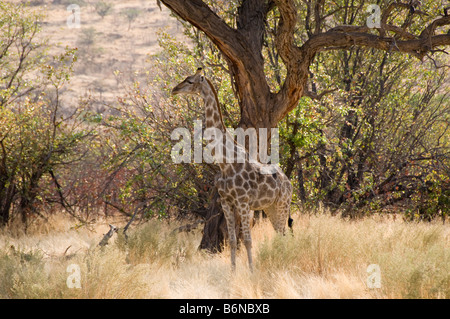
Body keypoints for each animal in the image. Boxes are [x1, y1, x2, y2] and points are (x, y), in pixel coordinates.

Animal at [171, 69, 294, 272]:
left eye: (189, 81)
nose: (174, 89)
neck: (225, 162)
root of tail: (289, 182)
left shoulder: (243, 202)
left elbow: (248, 241)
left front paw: (251, 272)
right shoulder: (226, 202)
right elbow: (233, 240)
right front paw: (233, 272)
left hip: (282, 204)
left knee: (283, 234)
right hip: (270, 207)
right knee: (281, 234)